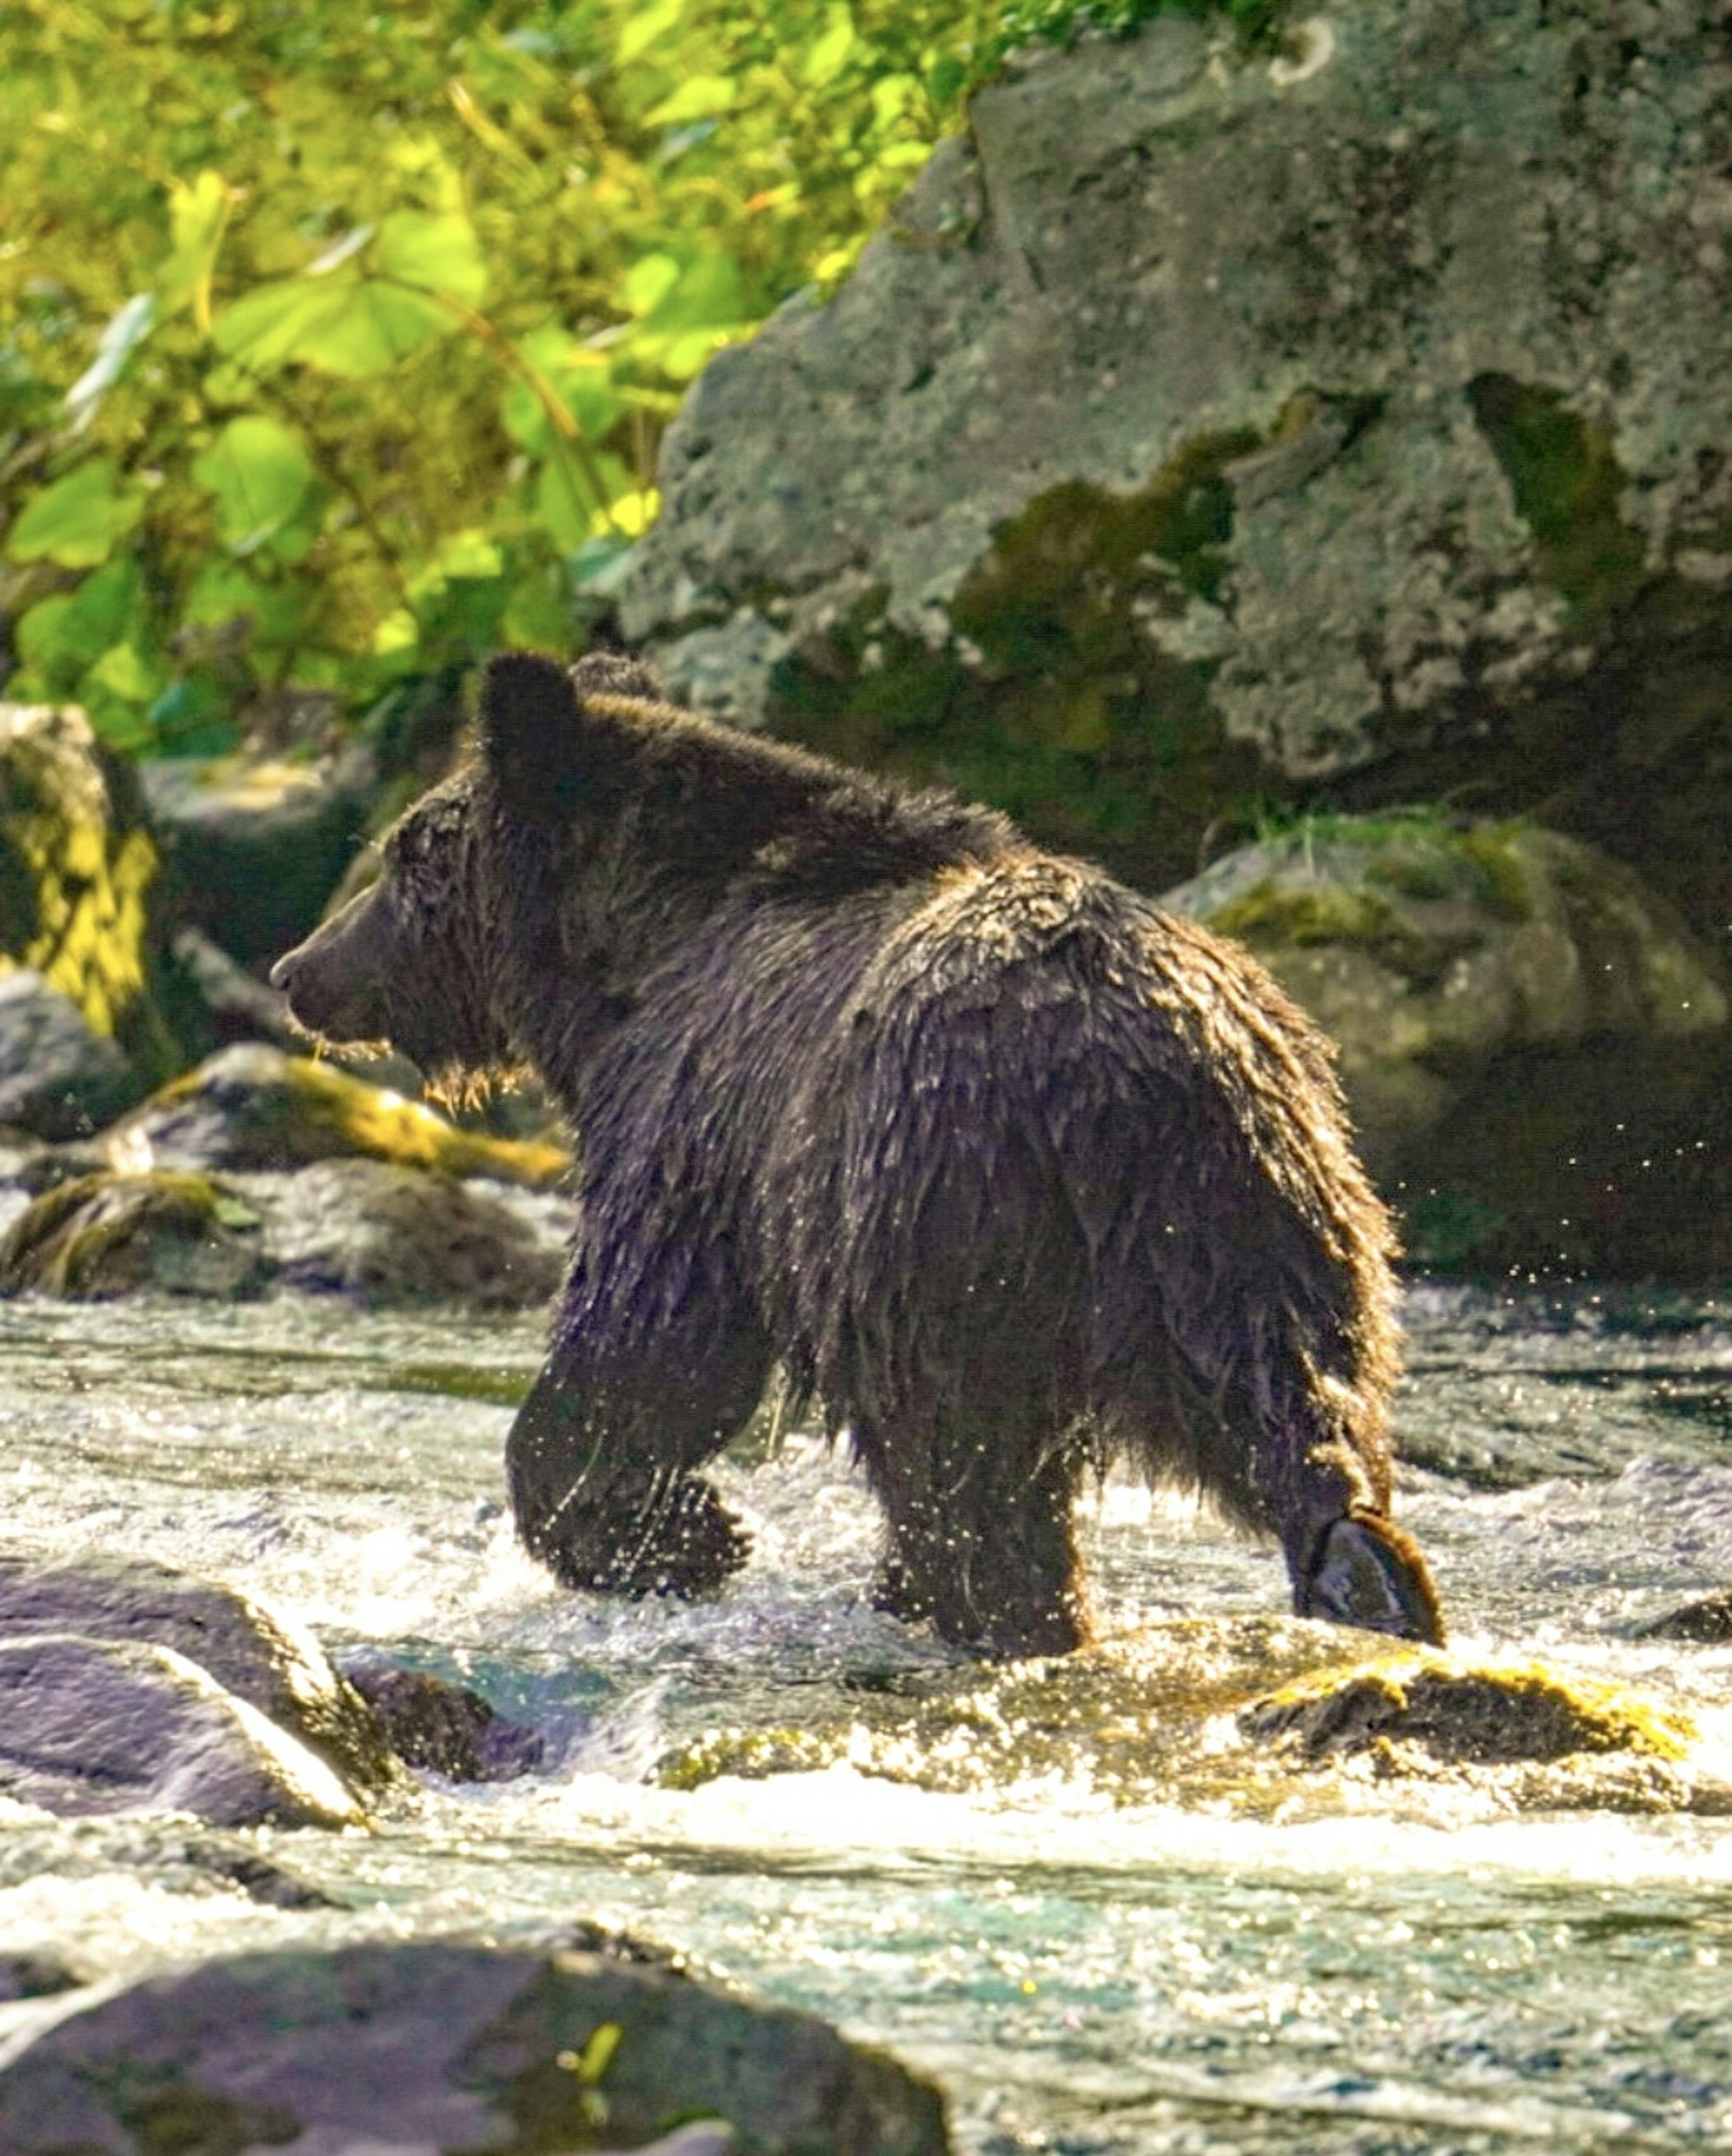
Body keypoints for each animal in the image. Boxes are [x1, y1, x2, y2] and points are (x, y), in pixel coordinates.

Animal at [270, 646, 1439, 1656]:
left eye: (407, 853)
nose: (297, 968)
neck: (637, 957)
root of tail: (1126, 1056)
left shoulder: (695, 1124)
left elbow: (648, 1341)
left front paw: (687, 1534)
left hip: (941, 1224)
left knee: (966, 1467)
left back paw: (986, 1606)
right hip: (1255, 1202)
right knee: (1295, 1399)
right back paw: (1365, 1578)